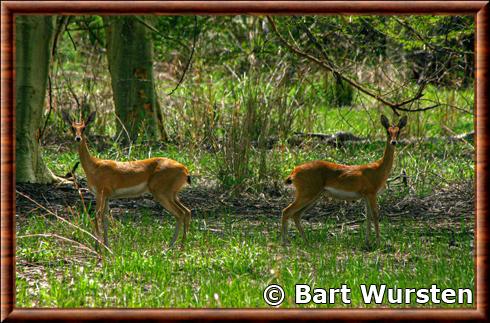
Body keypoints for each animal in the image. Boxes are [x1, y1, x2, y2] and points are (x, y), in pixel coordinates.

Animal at [61, 110, 191, 249]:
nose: (77, 138)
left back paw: (174, 246)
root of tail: (185, 171)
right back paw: (178, 246)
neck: (94, 166)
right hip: (172, 193)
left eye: (84, 128)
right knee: (186, 211)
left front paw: (97, 247)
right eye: (72, 128)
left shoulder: (101, 192)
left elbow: (97, 216)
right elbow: (105, 218)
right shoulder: (107, 196)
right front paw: (106, 245)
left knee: (180, 213)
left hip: (161, 192)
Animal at [282, 115, 408, 247]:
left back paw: (306, 242)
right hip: (307, 194)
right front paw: (378, 242)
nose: (393, 142)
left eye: (398, 131)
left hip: (314, 196)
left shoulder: (366, 196)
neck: (379, 169)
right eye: (388, 131)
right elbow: (375, 214)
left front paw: (367, 242)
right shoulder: (371, 193)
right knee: (286, 211)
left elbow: (367, 217)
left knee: (296, 214)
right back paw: (285, 242)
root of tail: (294, 171)